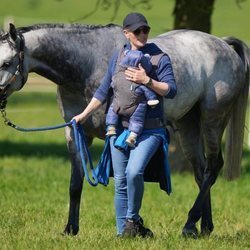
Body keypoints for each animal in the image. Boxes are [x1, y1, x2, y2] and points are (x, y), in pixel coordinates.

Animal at [0, 23, 248, 238]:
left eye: (6, 63)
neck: (87, 63)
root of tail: (224, 45)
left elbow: (127, 181)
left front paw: (136, 227)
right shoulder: (75, 133)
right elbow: (75, 184)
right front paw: (70, 229)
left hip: (213, 120)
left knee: (212, 168)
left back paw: (189, 225)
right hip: (188, 125)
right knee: (200, 172)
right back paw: (203, 227)